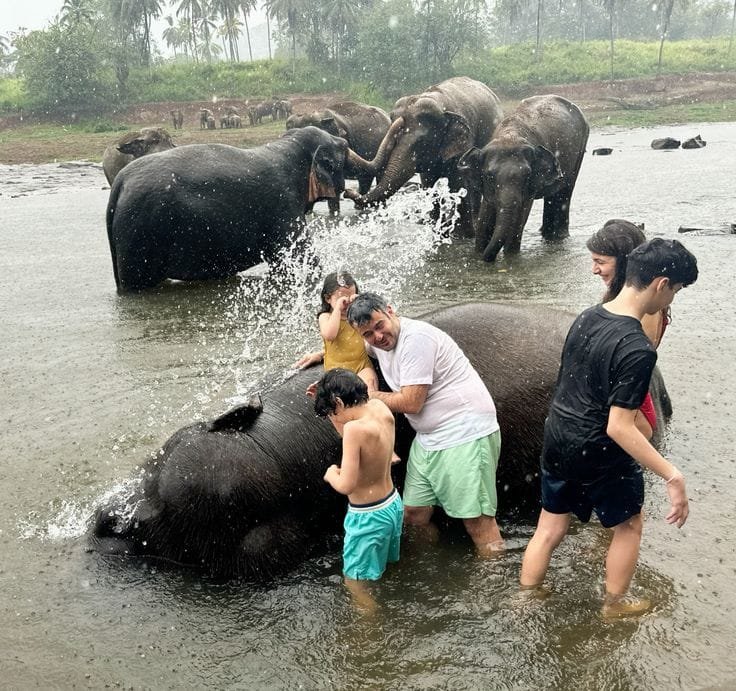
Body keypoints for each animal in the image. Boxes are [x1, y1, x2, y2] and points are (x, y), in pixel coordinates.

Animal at [106, 126, 347, 291]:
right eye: (343, 148)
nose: (345, 139)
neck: (287, 146)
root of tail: (119, 184)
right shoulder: (283, 209)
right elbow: (301, 259)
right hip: (140, 233)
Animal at [344, 77, 504, 236]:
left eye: (421, 142)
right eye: (394, 140)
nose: (346, 191)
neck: (440, 103)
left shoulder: (463, 143)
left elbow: (457, 182)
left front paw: (462, 235)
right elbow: (428, 182)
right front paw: (434, 227)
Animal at [456, 95, 589, 262]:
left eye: (527, 176)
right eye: (490, 176)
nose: (487, 258)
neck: (510, 136)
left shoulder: (531, 185)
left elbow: (520, 216)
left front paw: (511, 257)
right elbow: (485, 214)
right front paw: (478, 253)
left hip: (580, 150)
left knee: (564, 192)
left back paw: (558, 237)